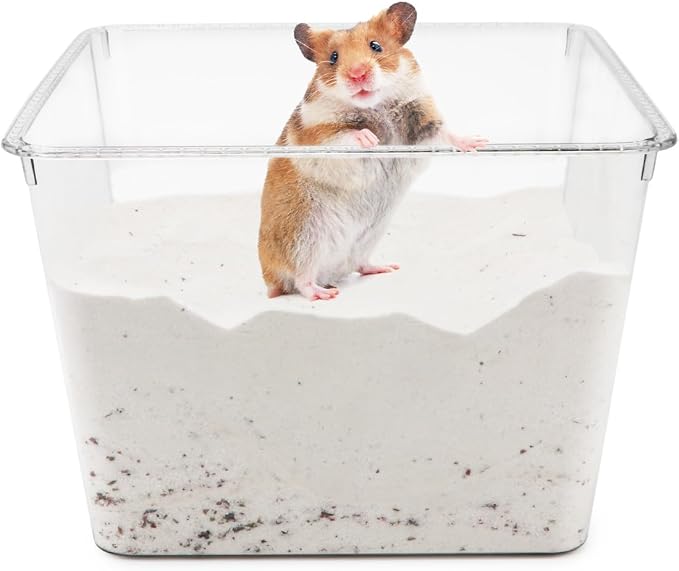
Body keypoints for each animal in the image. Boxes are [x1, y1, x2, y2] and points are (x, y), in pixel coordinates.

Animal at [259, 2, 486, 301]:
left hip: (368, 237)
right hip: (303, 238)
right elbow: (345, 135)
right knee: (301, 281)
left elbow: (446, 132)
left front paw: (478, 142)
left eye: (376, 46)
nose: (358, 74)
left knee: (358, 264)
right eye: (333, 57)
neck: (375, 105)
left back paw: (386, 268)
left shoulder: (422, 121)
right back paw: (326, 294)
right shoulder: (316, 135)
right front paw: (371, 139)